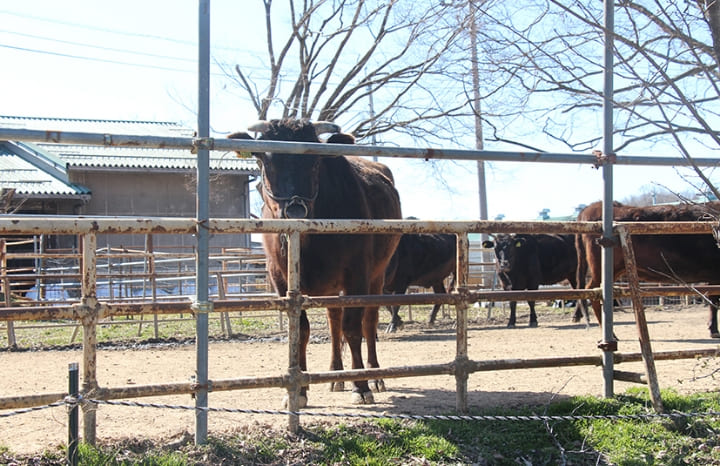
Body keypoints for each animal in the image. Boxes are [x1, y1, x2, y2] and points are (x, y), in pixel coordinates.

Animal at [229, 118, 402, 406]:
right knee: (334, 322)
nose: (295, 210)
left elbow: (353, 328)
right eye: (263, 158)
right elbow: (301, 330)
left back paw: (374, 374)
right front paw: (298, 391)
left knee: (368, 321)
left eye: (316, 160)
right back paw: (335, 375)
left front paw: (361, 386)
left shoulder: (357, 273)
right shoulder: (280, 278)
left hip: (377, 276)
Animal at [576, 200, 720, 338]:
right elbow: (714, 302)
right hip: (602, 270)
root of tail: (589, 209)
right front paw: (714, 331)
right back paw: (611, 335)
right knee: (592, 290)